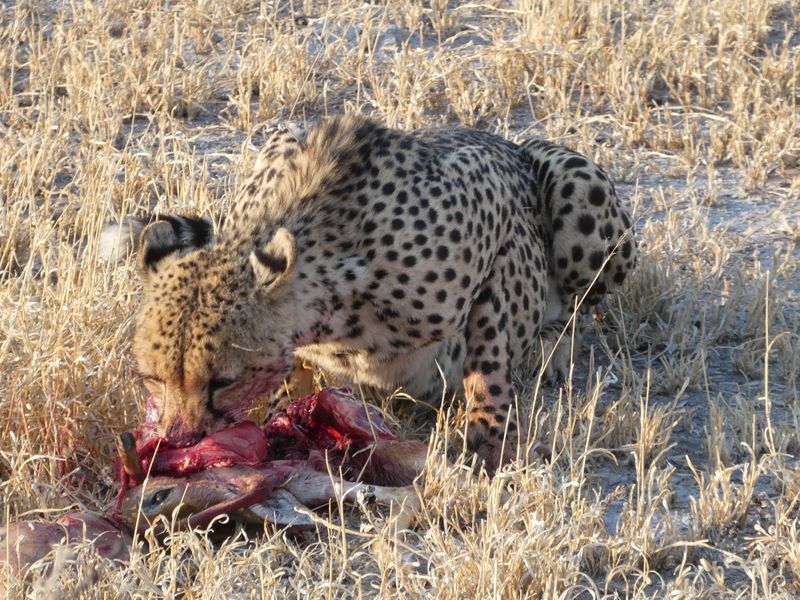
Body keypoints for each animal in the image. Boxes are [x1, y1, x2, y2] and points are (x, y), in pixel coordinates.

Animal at [108, 115, 636, 472]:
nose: (181, 440)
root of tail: (510, 139)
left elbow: (488, 348)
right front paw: (284, 416)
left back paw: (554, 353)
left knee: (575, 308)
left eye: (222, 381)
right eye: (153, 378)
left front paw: (488, 430)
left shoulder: (498, 216)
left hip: (575, 189)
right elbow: (293, 373)